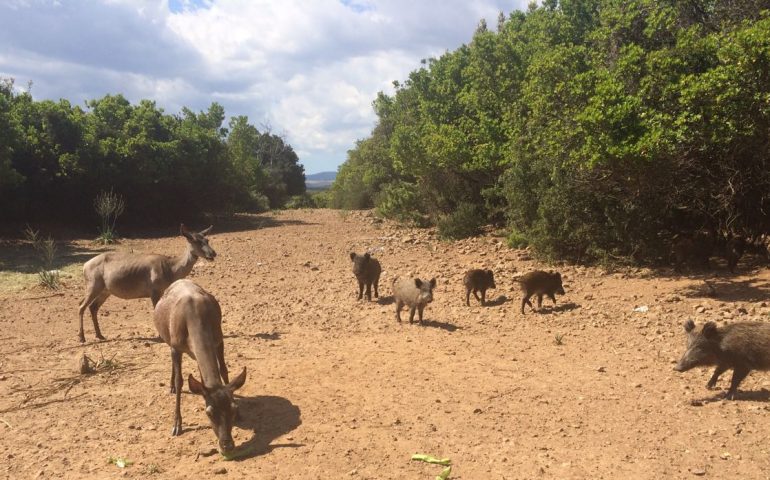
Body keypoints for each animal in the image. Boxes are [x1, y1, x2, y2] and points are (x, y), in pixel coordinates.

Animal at [77, 224, 214, 342]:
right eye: (196, 241)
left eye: (207, 240)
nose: (213, 253)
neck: (170, 270)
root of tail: (84, 266)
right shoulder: (154, 290)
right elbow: (155, 311)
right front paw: (160, 337)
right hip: (93, 284)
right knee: (81, 306)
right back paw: (82, 338)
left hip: (105, 290)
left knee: (93, 307)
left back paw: (100, 335)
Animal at [152, 278, 244, 454]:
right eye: (209, 413)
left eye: (234, 408)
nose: (227, 445)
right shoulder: (176, 347)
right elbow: (180, 381)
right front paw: (177, 425)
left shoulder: (219, 339)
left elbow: (223, 370)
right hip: (168, 340)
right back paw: (170, 387)